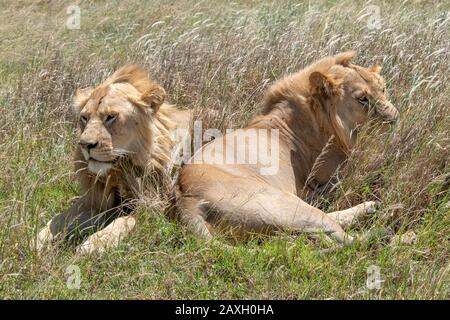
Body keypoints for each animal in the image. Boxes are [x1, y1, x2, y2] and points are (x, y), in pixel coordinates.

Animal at [34, 64, 191, 255]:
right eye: (84, 118)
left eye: (111, 117)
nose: (85, 144)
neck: (119, 170)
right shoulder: (93, 202)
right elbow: (58, 219)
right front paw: (36, 241)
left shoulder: (154, 205)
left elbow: (124, 221)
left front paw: (94, 244)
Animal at [174, 51, 400, 244]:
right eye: (362, 99)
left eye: (383, 89)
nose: (395, 118)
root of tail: (187, 203)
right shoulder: (321, 182)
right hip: (288, 203)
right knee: (347, 240)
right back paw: (387, 233)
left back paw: (372, 208)